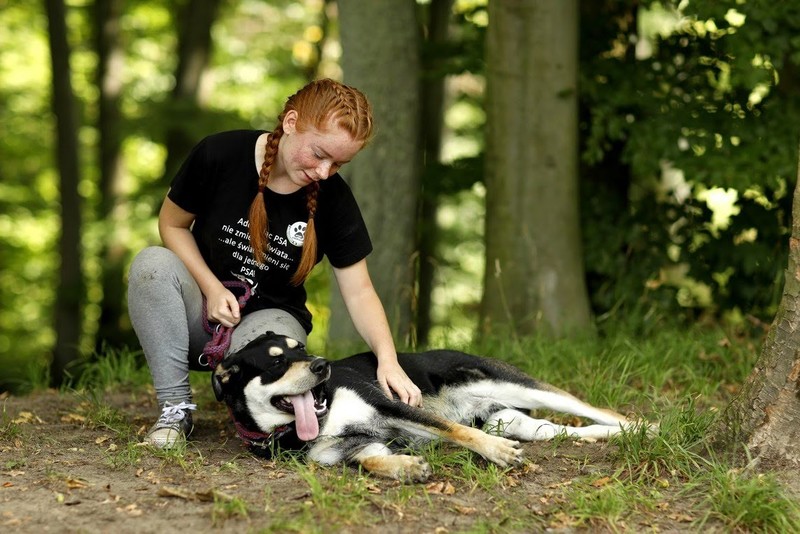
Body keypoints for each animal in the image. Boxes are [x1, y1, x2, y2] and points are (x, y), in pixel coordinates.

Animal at [212, 332, 636, 484]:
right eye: (276, 362)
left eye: (300, 348)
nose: (322, 365)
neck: (324, 415)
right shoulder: (349, 450)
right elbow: (372, 461)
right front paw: (406, 468)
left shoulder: (393, 406)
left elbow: (458, 430)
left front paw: (496, 453)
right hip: (514, 421)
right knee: (575, 429)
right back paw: (614, 435)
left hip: (520, 387)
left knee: (597, 409)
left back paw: (643, 427)